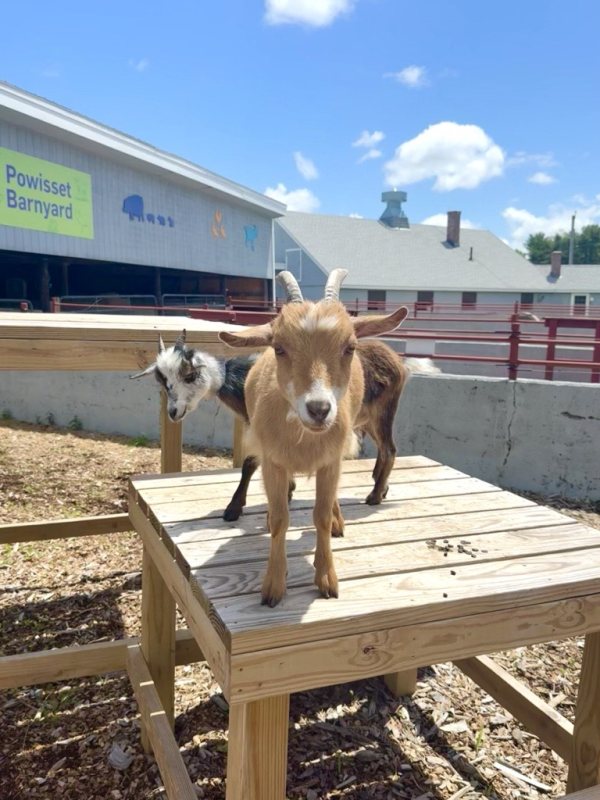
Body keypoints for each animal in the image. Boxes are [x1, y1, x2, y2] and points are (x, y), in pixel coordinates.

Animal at [219, 270, 408, 606]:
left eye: (349, 347)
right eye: (279, 348)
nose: (319, 409)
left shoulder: (331, 461)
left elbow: (319, 515)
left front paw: (326, 579)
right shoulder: (272, 462)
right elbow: (280, 519)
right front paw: (273, 586)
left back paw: (346, 515)